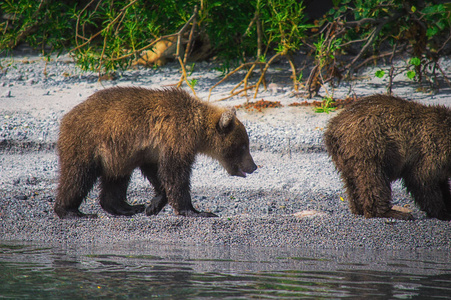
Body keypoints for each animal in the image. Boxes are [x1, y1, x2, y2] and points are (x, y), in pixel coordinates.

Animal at [54, 86, 256, 218]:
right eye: (243, 145)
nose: (254, 166)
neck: (197, 130)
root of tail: (66, 117)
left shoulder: (151, 149)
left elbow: (158, 173)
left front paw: (153, 205)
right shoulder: (176, 136)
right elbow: (175, 174)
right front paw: (196, 211)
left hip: (116, 154)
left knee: (117, 178)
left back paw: (127, 207)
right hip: (87, 142)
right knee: (78, 175)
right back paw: (70, 211)